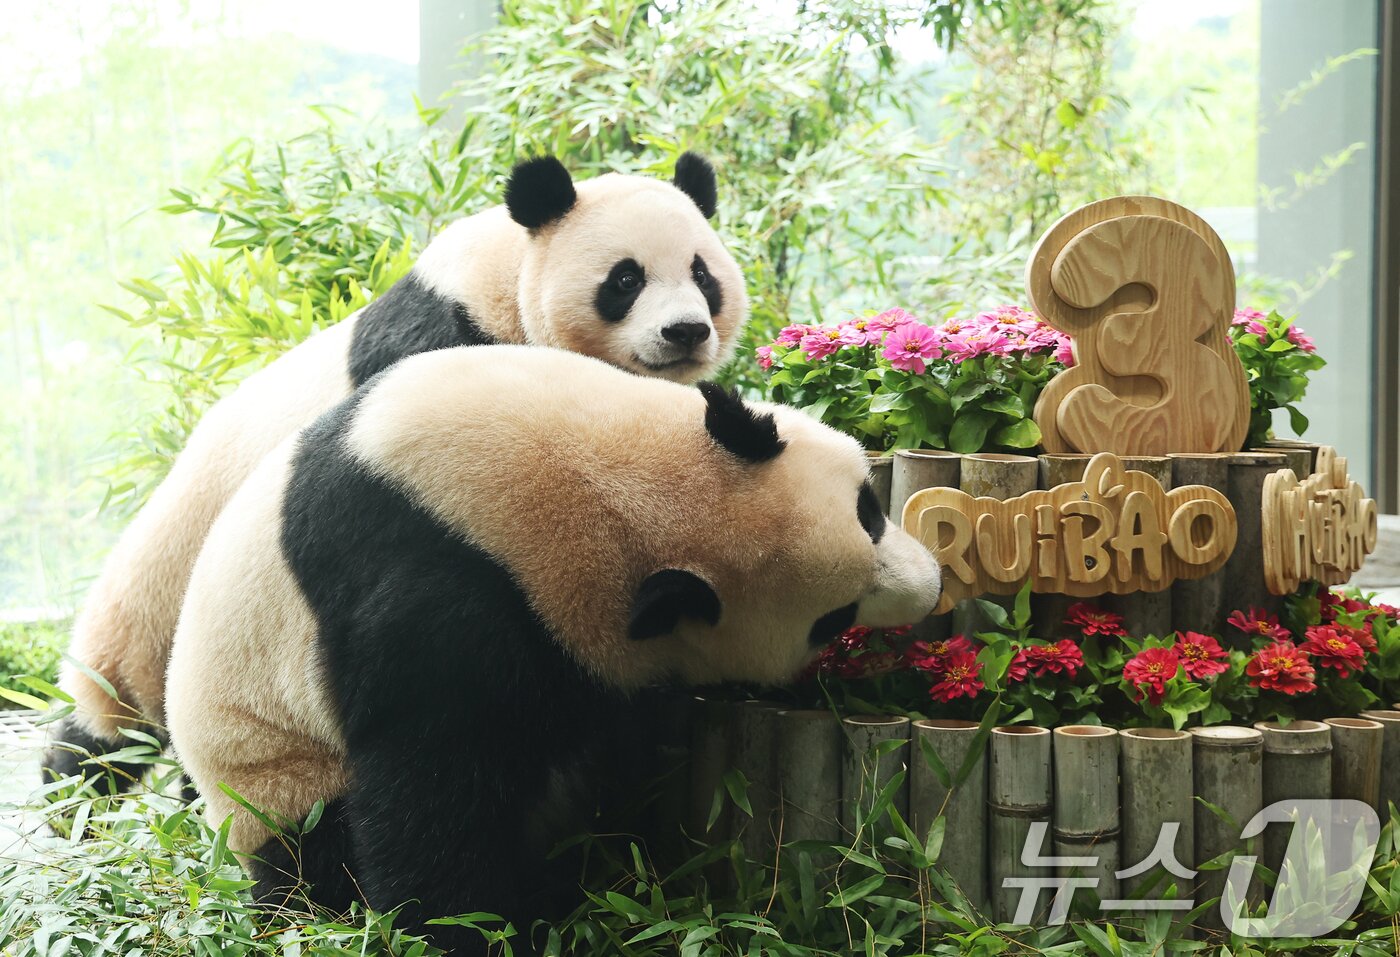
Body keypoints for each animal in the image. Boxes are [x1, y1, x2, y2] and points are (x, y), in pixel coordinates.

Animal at [47, 153, 748, 788]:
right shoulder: (443, 348)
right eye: (625, 280)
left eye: (702, 273)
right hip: (179, 596)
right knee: (119, 696)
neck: (499, 281)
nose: (686, 332)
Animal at [163, 345, 941, 953]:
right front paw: (466, 929)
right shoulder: (450, 599)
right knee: (314, 843)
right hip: (272, 764)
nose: (930, 589)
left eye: (868, 508)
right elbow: (431, 781)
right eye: (831, 619)